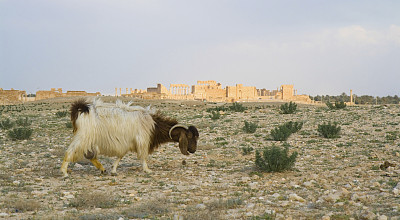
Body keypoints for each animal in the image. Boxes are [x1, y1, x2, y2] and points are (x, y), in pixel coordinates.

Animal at [60, 99, 198, 178]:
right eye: (190, 136)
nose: (193, 150)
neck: (154, 125)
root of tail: (82, 110)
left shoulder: (128, 142)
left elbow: (120, 155)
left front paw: (113, 170)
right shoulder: (142, 140)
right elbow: (143, 156)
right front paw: (147, 170)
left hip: (89, 139)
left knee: (90, 155)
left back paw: (102, 169)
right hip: (83, 136)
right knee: (70, 151)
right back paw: (65, 172)